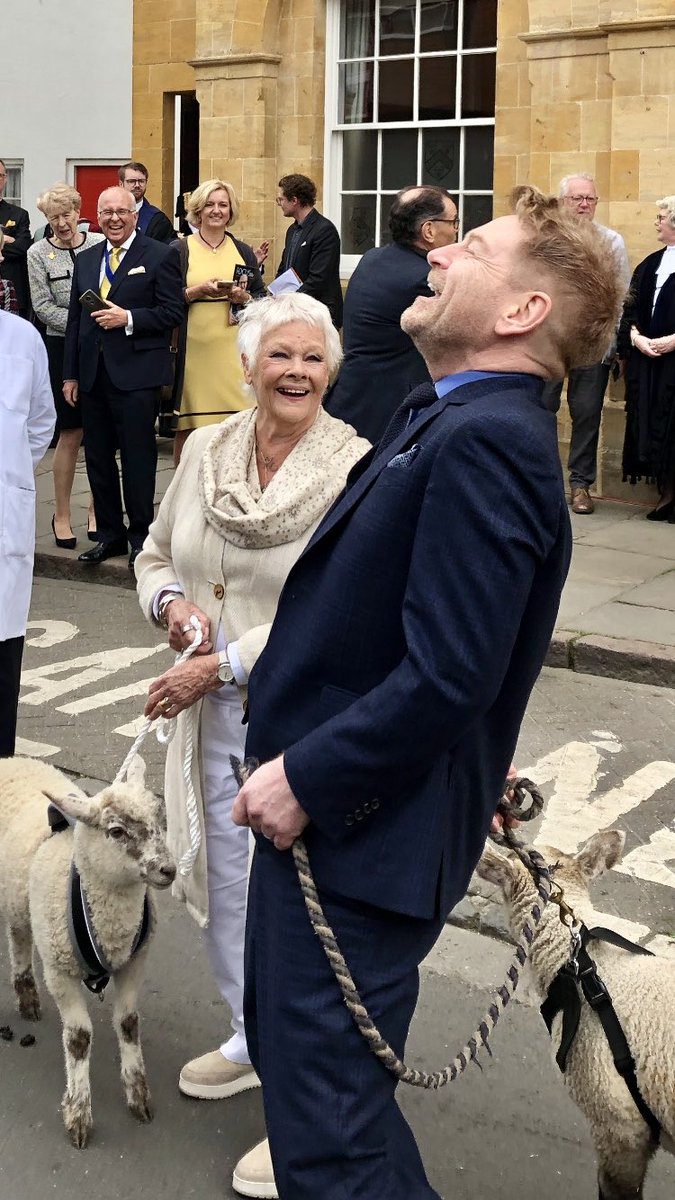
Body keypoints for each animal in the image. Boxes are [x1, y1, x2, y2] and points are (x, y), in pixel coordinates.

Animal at [0, 753, 174, 1147]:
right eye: (116, 831)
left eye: (162, 821)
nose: (168, 870)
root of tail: (12, 758)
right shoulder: (58, 969)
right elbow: (79, 1038)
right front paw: (78, 1114)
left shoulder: (133, 963)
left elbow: (128, 1023)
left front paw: (138, 1096)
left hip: (20, 897)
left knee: (19, 935)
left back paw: (27, 997)